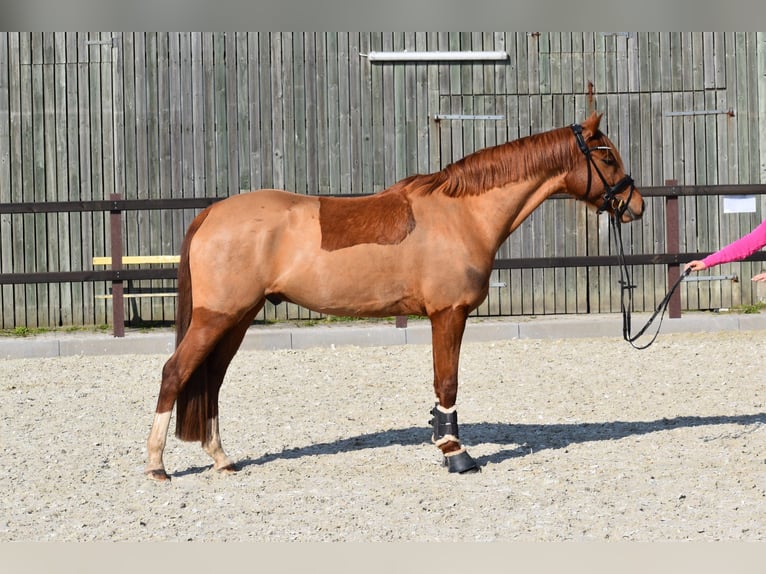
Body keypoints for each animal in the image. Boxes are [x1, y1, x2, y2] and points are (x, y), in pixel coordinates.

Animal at [144, 112, 644, 480]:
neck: (461, 215)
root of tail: (211, 212)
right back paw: (157, 466)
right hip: (217, 317)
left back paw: (221, 459)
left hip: (238, 318)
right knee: (175, 373)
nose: (635, 206)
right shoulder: (449, 314)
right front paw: (456, 453)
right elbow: (447, 383)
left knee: (210, 381)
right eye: (609, 159)